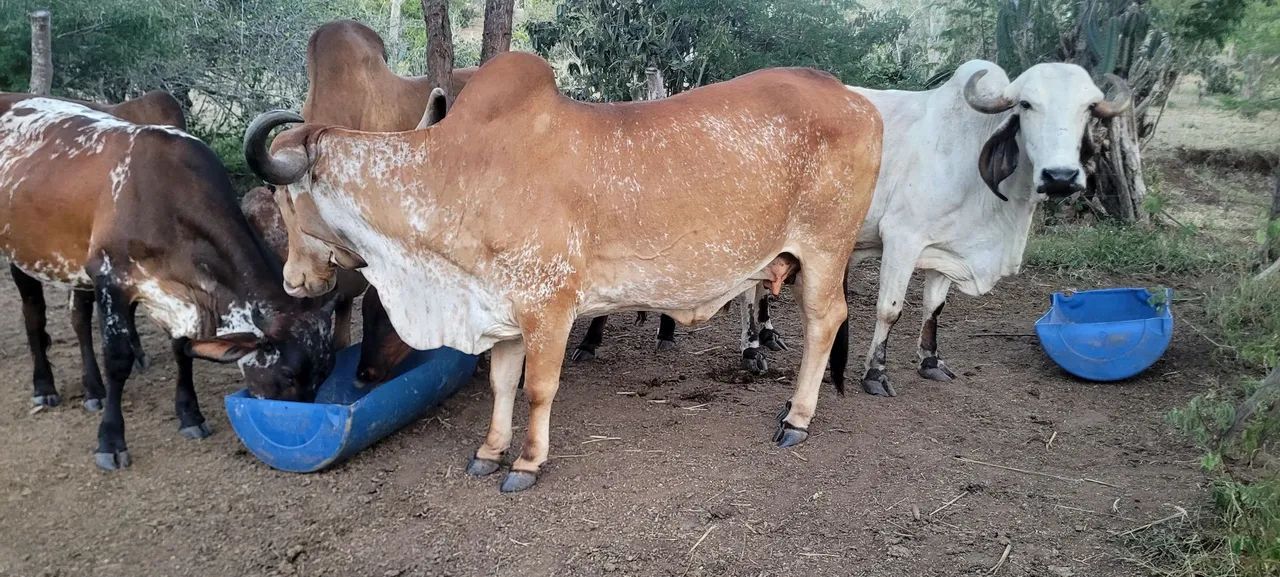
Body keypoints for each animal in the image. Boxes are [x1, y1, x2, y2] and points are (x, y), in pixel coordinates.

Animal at [838, 60, 1131, 396]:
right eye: (1026, 104)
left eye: (1089, 107)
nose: (1060, 177)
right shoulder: (902, 238)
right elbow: (889, 309)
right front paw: (875, 373)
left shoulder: (945, 249)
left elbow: (934, 307)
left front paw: (931, 362)